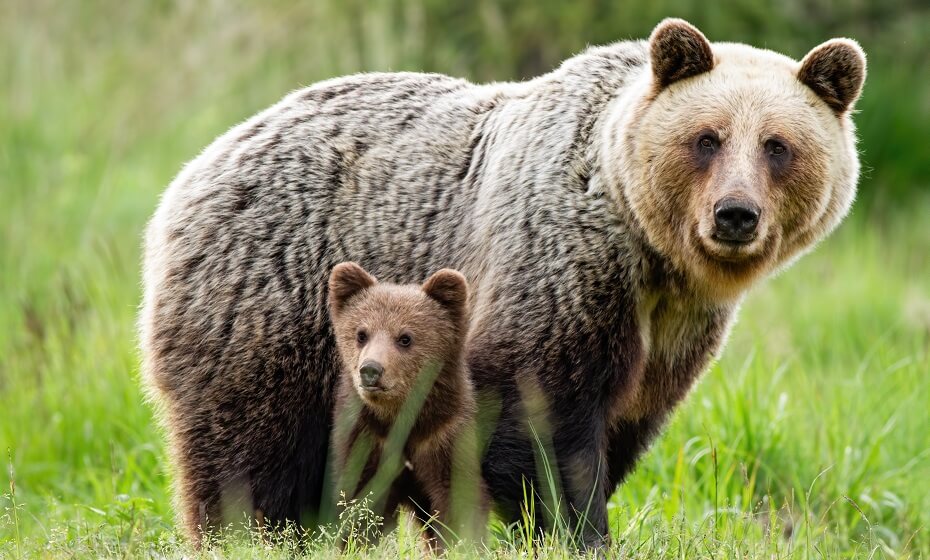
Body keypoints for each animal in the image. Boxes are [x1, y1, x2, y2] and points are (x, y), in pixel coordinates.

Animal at [324, 262, 486, 548]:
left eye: (405, 338)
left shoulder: (443, 436)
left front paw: (460, 543)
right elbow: (360, 501)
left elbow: (457, 498)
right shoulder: (367, 439)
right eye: (361, 334)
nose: (370, 370)